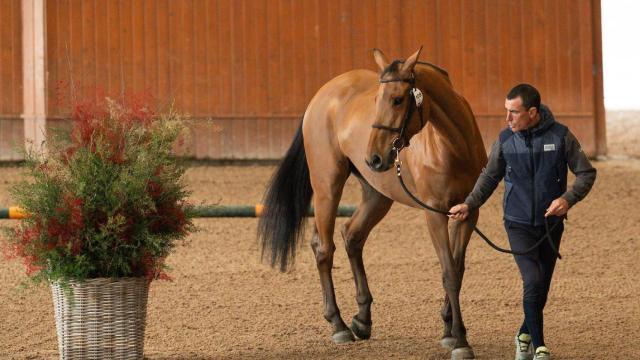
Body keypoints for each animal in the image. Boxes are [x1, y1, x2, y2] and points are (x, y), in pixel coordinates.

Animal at [258, 48, 488, 360]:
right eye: (377, 100)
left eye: (398, 99)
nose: (375, 157)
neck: (454, 146)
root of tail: (322, 94)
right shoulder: (434, 213)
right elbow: (449, 272)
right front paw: (461, 341)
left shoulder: (467, 213)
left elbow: (458, 269)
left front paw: (449, 330)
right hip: (327, 188)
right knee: (324, 248)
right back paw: (339, 325)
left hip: (377, 195)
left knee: (352, 236)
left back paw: (362, 319)